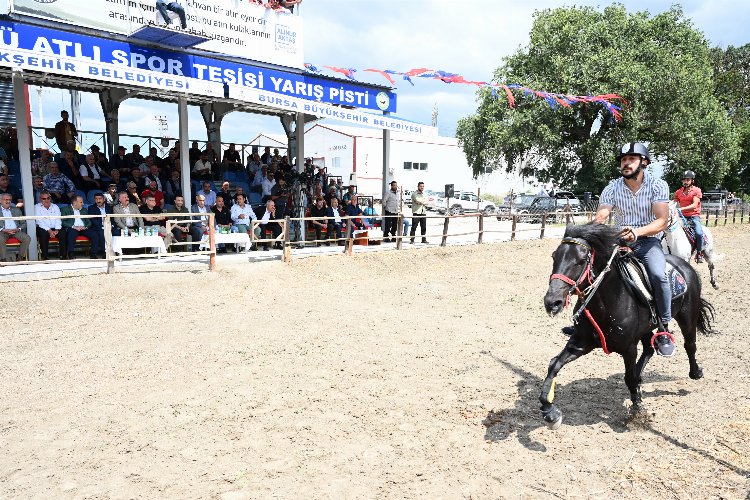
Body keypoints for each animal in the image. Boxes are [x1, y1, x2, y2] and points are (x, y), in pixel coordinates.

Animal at [544, 224, 712, 430]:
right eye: (554, 256)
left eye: (581, 260)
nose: (552, 302)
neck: (608, 302)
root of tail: (685, 266)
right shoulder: (581, 343)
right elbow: (554, 364)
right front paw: (549, 412)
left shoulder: (629, 348)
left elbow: (628, 378)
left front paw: (637, 411)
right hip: (647, 327)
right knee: (649, 348)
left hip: (687, 316)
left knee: (689, 345)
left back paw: (695, 372)